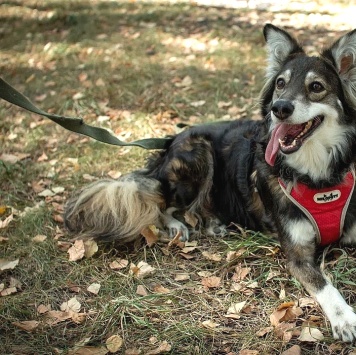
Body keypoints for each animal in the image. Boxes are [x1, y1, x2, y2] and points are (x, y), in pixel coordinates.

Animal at [64, 24, 356, 342]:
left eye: (316, 87)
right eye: (280, 83)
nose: (279, 108)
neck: (317, 176)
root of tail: (169, 143)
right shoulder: (297, 254)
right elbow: (324, 285)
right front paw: (345, 319)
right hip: (198, 153)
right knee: (164, 204)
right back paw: (180, 226)